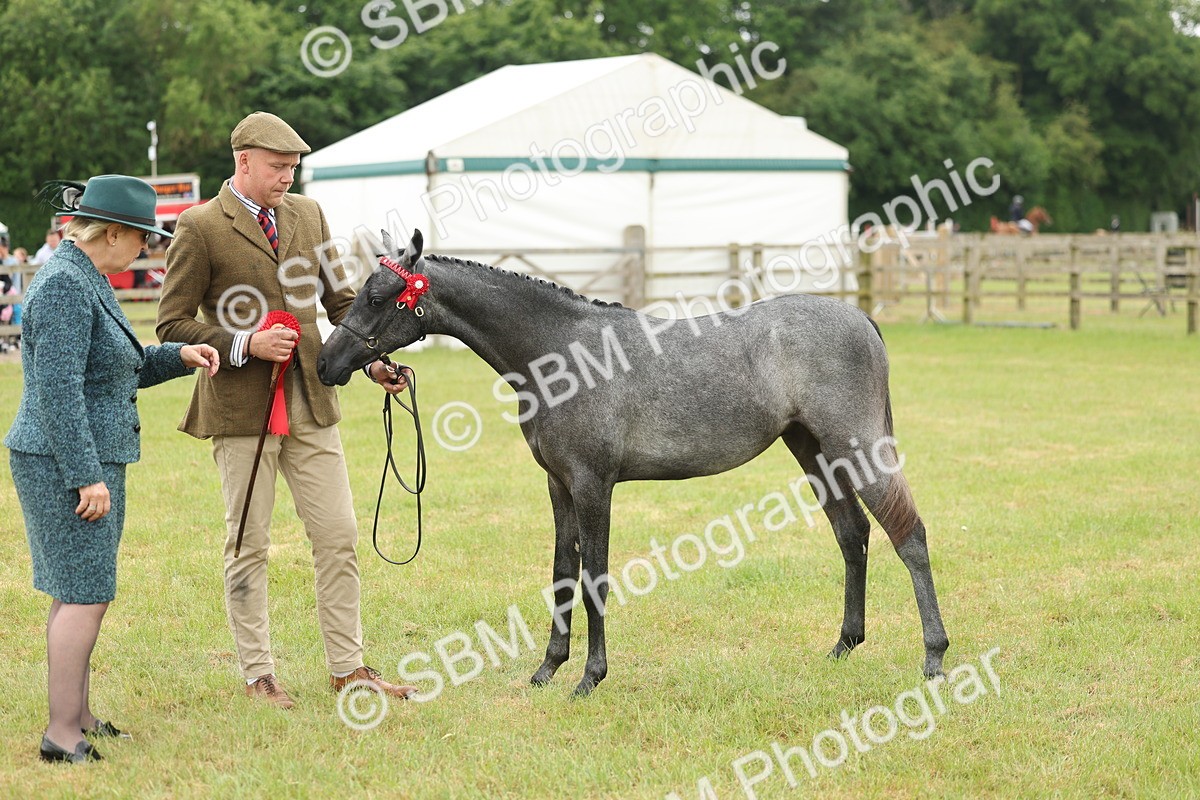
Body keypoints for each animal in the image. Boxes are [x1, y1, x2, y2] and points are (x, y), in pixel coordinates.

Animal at [317, 230, 949, 696]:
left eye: (378, 297)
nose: (326, 363)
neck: (561, 354)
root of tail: (860, 319)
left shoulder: (594, 485)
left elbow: (593, 577)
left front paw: (589, 679)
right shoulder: (559, 487)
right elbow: (562, 571)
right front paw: (547, 670)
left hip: (856, 444)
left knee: (908, 535)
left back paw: (934, 659)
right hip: (813, 448)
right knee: (853, 534)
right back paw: (844, 645)